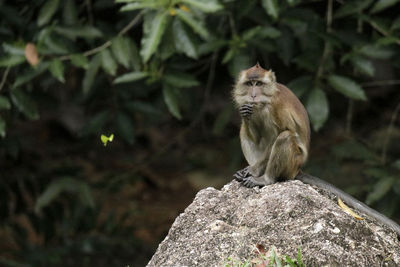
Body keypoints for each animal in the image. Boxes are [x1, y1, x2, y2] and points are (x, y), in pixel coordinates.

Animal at [231, 63, 400, 238]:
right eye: (249, 84)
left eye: (258, 84)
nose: (253, 95)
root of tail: (298, 170)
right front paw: (245, 114)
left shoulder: (272, 108)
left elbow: (278, 135)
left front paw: (253, 171)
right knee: (244, 130)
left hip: (292, 162)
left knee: (285, 137)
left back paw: (265, 178)